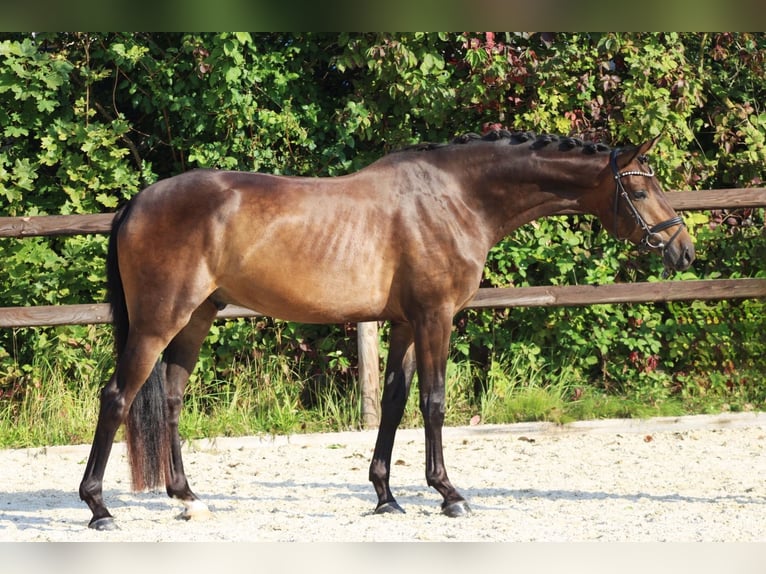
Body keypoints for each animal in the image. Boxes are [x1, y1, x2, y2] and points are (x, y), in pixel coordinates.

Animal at [76, 130, 696, 532]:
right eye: (642, 190)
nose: (683, 249)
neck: (457, 199)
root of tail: (136, 202)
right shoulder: (435, 316)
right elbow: (434, 401)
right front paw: (449, 495)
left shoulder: (402, 323)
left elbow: (396, 402)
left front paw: (386, 495)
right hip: (159, 322)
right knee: (118, 397)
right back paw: (99, 509)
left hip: (197, 317)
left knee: (171, 399)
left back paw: (188, 498)